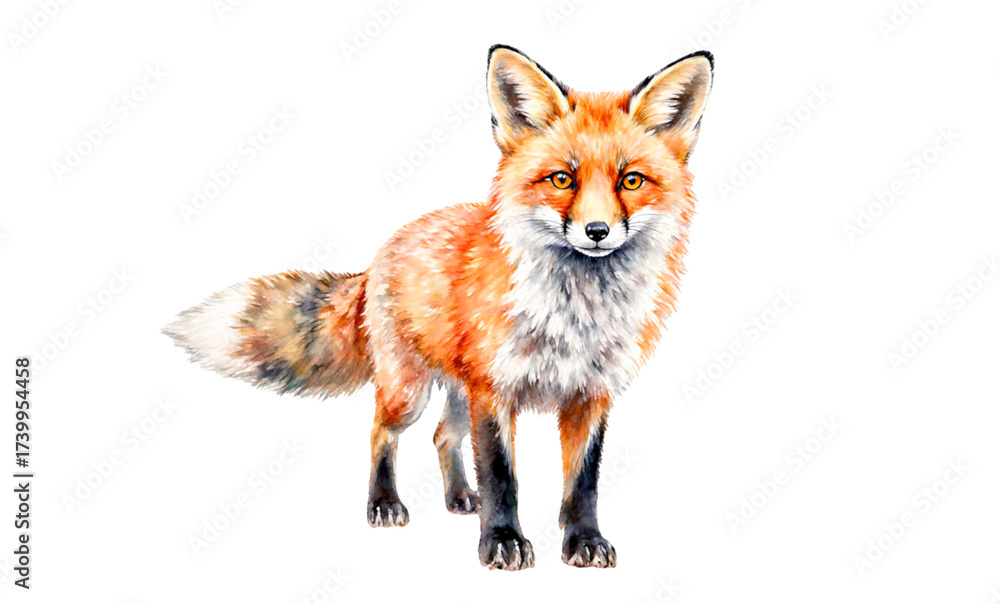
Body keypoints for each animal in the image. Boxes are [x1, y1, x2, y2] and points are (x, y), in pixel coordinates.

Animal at [165, 44, 713, 570]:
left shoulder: (590, 394)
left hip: (456, 393)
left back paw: (459, 497)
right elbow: (501, 476)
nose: (597, 231)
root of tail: (385, 249)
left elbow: (583, 483)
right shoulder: (494, 390)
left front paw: (584, 541)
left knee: (442, 437)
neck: (577, 314)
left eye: (631, 181)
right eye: (561, 179)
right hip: (410, 390)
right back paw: (384, 503)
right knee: (381, 431)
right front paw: (502, 542)